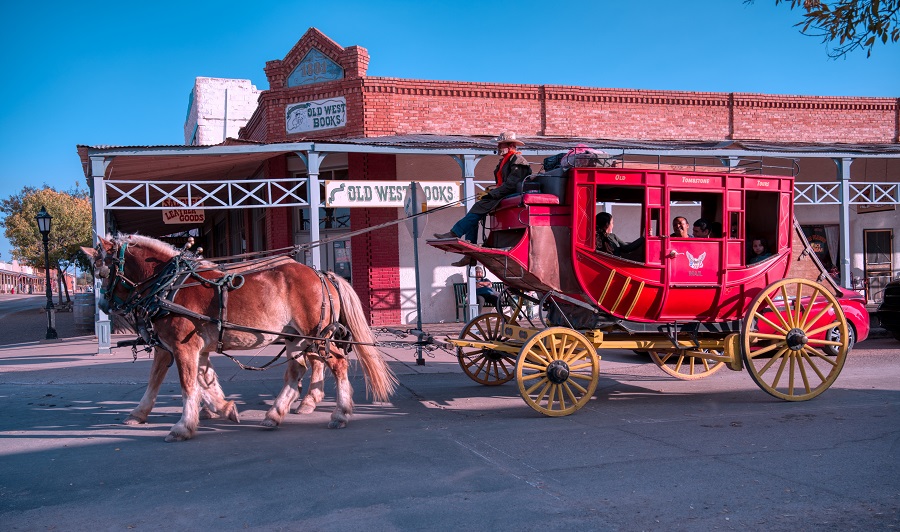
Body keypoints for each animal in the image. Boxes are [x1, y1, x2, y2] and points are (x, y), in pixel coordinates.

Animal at [87, 235, 394, 442]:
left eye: (103, 271)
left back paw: (340, 413)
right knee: (296, 371)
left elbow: (188, 385)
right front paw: (222, 408)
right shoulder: (183, 348)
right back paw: (275, 414)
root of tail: (321, 274)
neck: (169, 286)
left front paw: (184, 426)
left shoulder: (183, 346)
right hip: (295, 338)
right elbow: (186, 381)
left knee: (337, 364)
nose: (103, 306)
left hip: (314, 335)